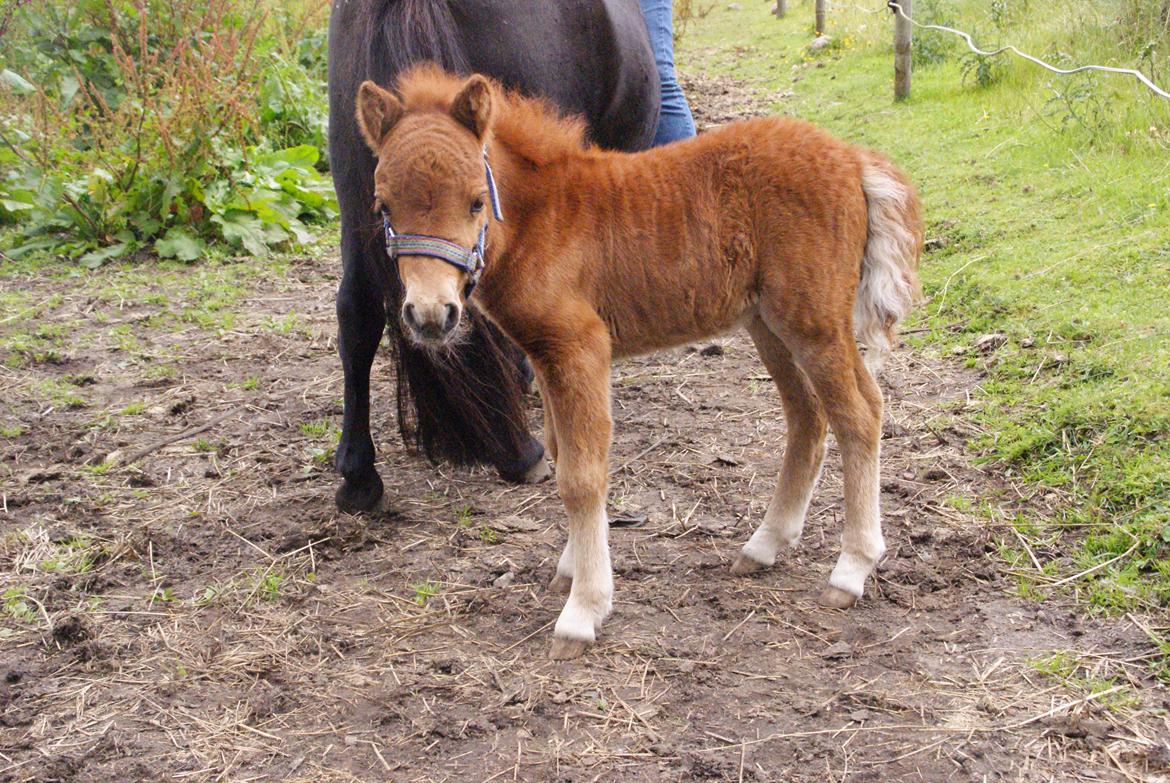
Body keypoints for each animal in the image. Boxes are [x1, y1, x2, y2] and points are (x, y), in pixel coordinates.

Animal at [355, 67, 921, 655]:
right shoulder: (546, 356)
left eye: (473, 202)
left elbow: (581, 476)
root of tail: (854, 159)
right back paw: (764, 545)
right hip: (768, 323)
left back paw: (851, 569)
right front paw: (570, 569)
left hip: (812, 320)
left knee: (859, 414)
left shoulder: (579, 346)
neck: (542, 217)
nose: (430, 314)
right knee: (808, 417)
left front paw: (583, 609)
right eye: (383, 208)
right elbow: (561, 452)